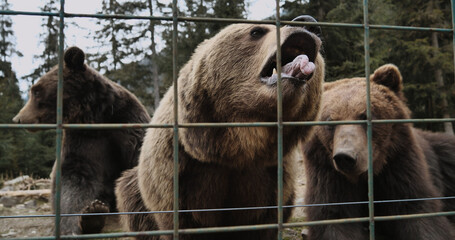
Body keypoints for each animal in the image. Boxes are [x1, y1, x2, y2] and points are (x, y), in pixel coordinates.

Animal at [12, 46, 151, 235]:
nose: (18, 119)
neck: (93, 116)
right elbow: (74, 180)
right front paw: (89, 215)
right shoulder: (82, 141)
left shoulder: (127, 125)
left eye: (36, 90)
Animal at [302, 63, 455, 240]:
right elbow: (333, 218)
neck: (365, 177)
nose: (345, 157)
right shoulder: (327, 174)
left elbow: (418, 213)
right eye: (330, 121)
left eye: (365, 116)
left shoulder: (399, 165)